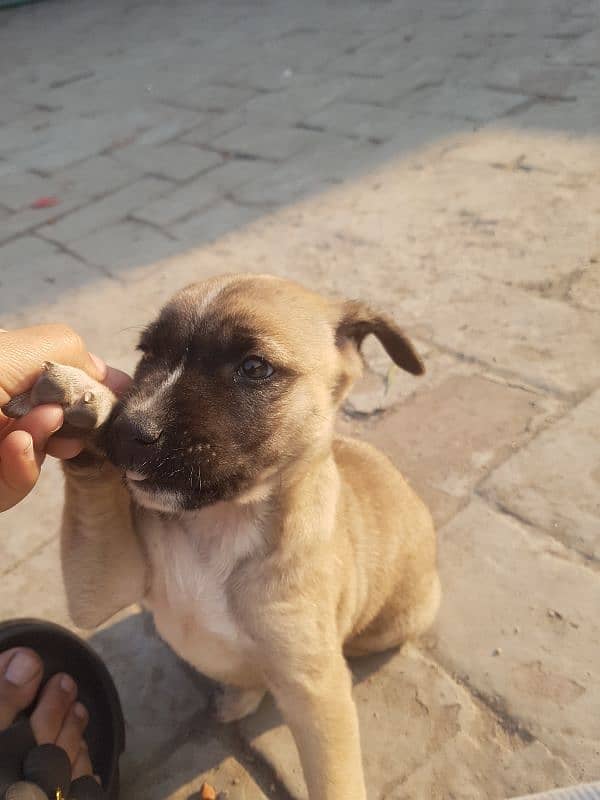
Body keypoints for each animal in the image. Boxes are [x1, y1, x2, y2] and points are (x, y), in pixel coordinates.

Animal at [2, 276, 438, 800]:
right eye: (147, 352)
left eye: (254, 368)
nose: (129, 429)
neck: (222, 525)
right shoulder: (106, 584)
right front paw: (84, 401)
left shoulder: (318, 694)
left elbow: (336, 782)